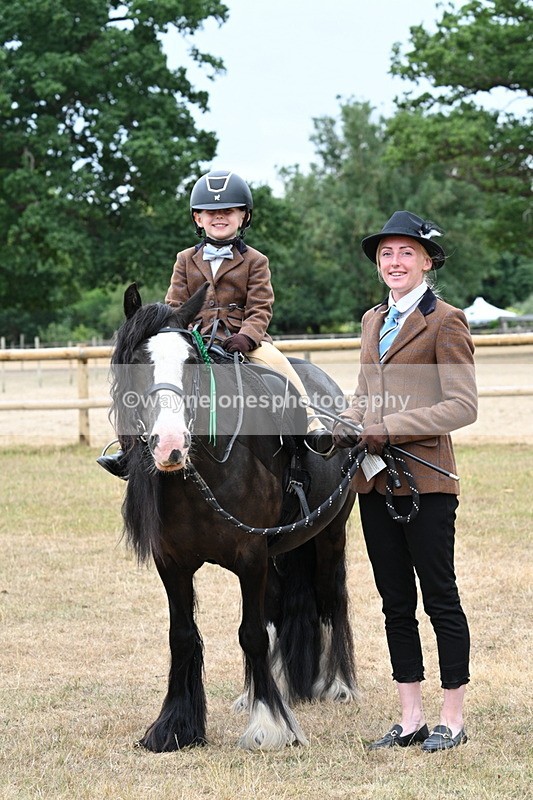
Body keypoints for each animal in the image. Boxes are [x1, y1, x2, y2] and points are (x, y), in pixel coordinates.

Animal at [109, 282, 357, 751]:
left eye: (190, 362)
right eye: (135, 362)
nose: (170, 444)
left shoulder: (250, 556)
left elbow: (252, 633)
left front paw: (271, 726)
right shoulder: (172, 563)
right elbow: (183, 635)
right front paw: (175, 726)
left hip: (329, 533)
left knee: (331, 597)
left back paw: (338, 685)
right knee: (278, 608)